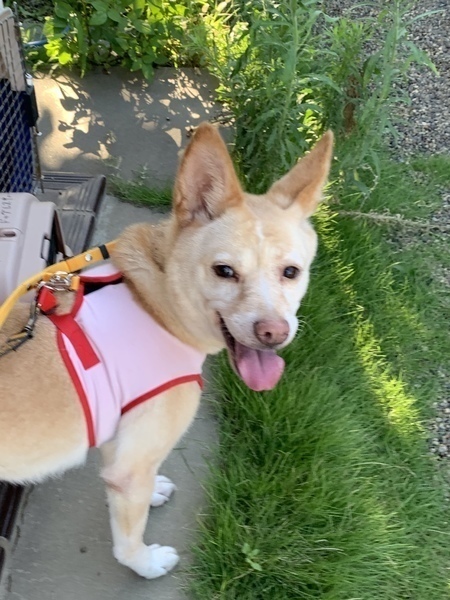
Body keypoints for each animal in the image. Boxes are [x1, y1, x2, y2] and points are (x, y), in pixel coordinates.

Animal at [0, 123, 333, 579]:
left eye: (291, 272)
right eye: (224, 271)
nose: (273, 333)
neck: (154, 302)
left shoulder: (122, 439)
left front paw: (155, 490)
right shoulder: (130, 470)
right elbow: (128, 539)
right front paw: (146, 563)